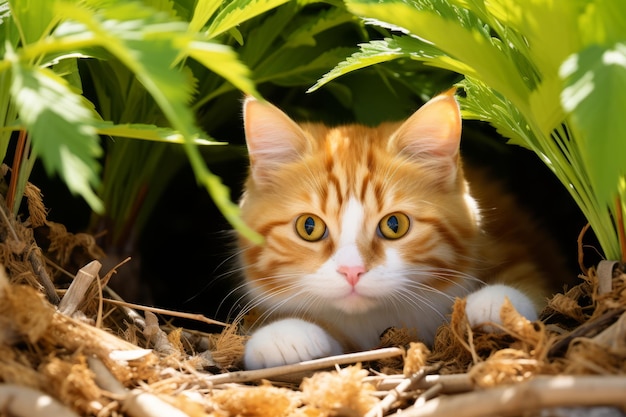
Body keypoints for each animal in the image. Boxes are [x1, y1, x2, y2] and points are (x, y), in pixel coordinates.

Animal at [235, 89, 564, 368]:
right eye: (309, 226)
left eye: (394, 225)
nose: (352, 271)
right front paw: (282, 335)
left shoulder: (514, 246)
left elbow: (530, 282)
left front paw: (497, 303)